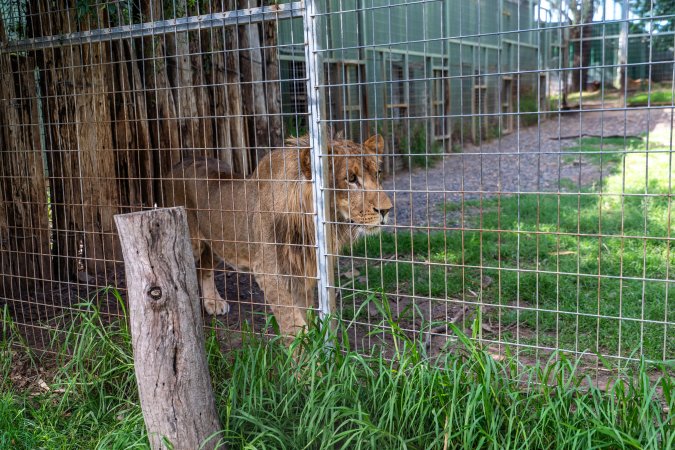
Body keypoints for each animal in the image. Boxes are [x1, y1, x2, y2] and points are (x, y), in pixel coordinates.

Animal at [164, 134, 393, 337]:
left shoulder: (301, 270)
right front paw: (306, 358)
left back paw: (214, 302)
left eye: (378, 174)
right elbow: (294, 325)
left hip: (219, 240)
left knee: (205, 267)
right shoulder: (269, 271)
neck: (309, 224)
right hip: (193, 241)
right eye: (351, 179)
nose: (386, 210)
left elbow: (305, 314)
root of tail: (179, 162)